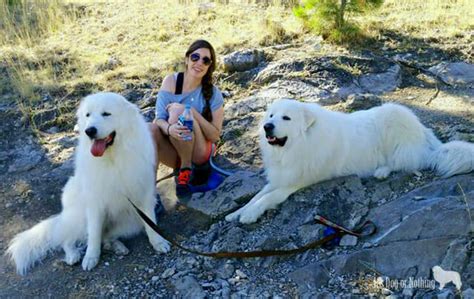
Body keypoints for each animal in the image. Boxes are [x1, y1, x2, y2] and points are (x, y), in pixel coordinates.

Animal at [7, 92, 170, 276]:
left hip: (130, 221)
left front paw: (158, 242)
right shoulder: (94, 204)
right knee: (67, 239)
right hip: (79, 218)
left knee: (106, 236)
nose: (89, 131)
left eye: (106, 114)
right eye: (88, 115)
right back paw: (73, 255)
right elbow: (93, 235)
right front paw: (91, 258)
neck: (112, 158)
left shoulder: (143, 196)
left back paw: (116, 246)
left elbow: (151, 224)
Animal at [226, 99, 474, 224]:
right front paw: (237, 212)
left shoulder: (297, 181)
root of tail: (423, 130)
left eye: (286, 118)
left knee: (402, 162)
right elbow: (258, 195)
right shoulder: (281, 176)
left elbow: (269, 198)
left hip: (393, 122)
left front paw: (249, 215)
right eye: (271, 115)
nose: (267, 126)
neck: (296, 145)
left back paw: (381, 171)